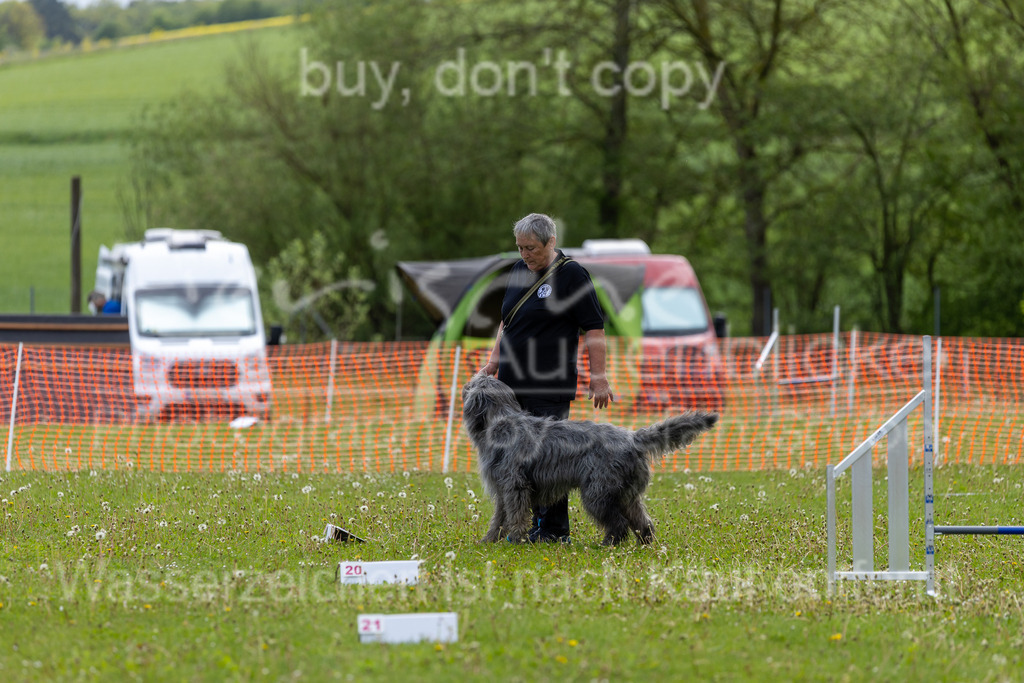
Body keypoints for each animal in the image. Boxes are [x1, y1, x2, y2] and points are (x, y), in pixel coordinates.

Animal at [464, 374, 720, 544]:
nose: (466, 384)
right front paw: (490, 540)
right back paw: (645, 543)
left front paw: (516, 540)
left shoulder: (515, 486)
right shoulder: (503, 489)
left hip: (597, 493)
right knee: (641, 520)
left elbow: (515, 515)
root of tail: (632, 438)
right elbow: (500, 516)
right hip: (625, 493)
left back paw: (609, 543)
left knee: (619, 522)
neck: (501, 422)